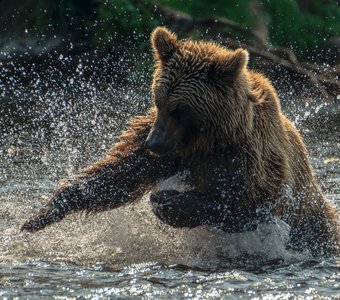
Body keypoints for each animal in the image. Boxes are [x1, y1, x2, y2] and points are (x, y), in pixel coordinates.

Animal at [21, 27, 338, 255]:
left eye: (179, 109)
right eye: (158, 100)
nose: (153, 144)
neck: (211, 138)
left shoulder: (252, 156)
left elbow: (250, 202)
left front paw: (168, 201)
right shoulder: (169, 146)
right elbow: (119, 173)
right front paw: (42, 213)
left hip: (313, 224)